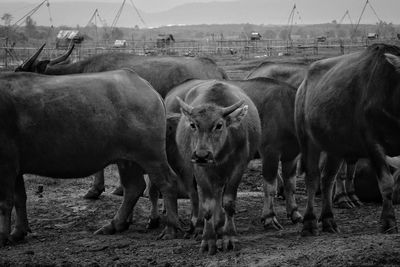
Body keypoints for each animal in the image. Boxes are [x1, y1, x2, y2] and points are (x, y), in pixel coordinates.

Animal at [0, 69, 180, 247]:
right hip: (127, 160)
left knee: (167, 183)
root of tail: (146, 86)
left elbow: (5, 202)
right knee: (133, 188)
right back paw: (114, 225)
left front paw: (3, 236)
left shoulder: (7, 166)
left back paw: (170, 229)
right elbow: (19, 198)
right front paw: (18, 232)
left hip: (151, 156)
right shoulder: (15, 168)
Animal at [173, 80, 260, 255]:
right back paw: (203, 227)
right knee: (202, 195)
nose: (202, 155)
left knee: (219, 193)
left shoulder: (239, 166)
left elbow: (228, 202)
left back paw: (220, 226)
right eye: (193, 124)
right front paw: (208, 239)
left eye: (219, 125)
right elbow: (207, 205)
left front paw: (229, 237)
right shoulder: (199, 168)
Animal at [294, 42, 400, 237]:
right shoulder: (373, 144)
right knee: (312, 178)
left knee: (328, 178)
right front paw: (388, 221)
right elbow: (386, 183)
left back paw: (328, 220)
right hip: (308, 141)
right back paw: (309, 223)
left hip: (335, 148)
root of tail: (303, 85)